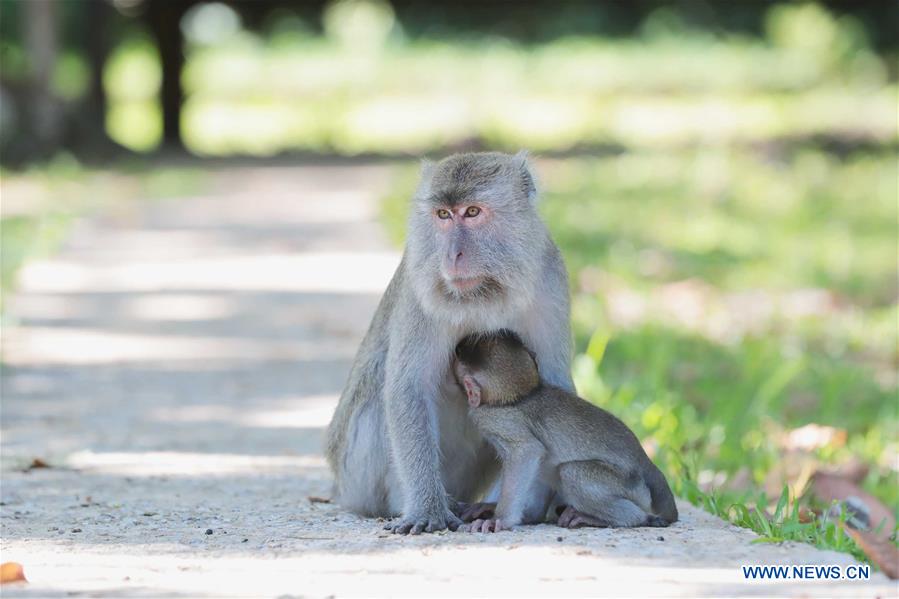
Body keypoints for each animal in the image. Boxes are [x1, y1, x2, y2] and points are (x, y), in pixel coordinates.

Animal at [326, 150, 572, 536]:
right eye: (443, 215)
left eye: (471, 212)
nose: (451, 255)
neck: (485, 294)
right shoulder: (420, 288)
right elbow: (408, 389)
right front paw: (427, 510)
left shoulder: (550, 280)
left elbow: (550, 388)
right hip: (356, 477)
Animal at [458, 332, 676, 536]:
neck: (522, 396)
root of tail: (647, 463)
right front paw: (492, 509)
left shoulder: (490, 419)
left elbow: (527, 450)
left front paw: (500, 519)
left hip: (630, 486)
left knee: (571, 472)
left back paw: (625, 518)